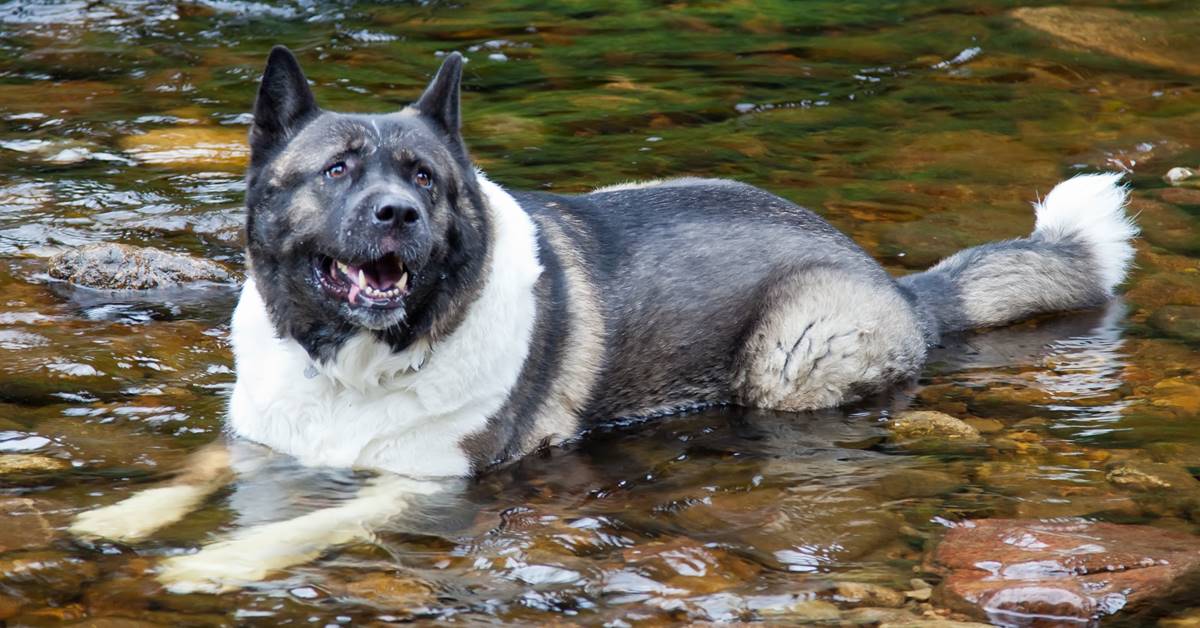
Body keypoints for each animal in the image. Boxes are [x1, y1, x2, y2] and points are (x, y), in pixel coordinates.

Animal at [70, 46, 1137, 593]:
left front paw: (215, 565)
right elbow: (191, 471)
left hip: (791, 355)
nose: (398, 215)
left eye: (425, 178)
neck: (350, 362)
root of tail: (895, 280)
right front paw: (114, 518)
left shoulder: (424, 484)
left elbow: (311, 524)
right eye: (336, 169)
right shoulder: (258, 436)